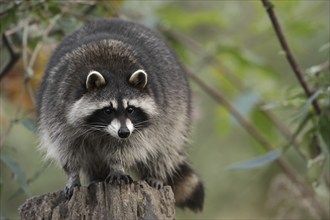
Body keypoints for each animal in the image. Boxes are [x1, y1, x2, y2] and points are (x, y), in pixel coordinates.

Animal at [37, 18, 205, 211]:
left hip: (178, 111)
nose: (123, 132)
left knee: (166, 146)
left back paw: (156, 173)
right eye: (107, 110)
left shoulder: (141, 129)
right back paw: (97, 178)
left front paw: (118, 166)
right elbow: (67, 148)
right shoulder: (57, 109)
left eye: (130, 109)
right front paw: (72, 175)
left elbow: (128, 147)